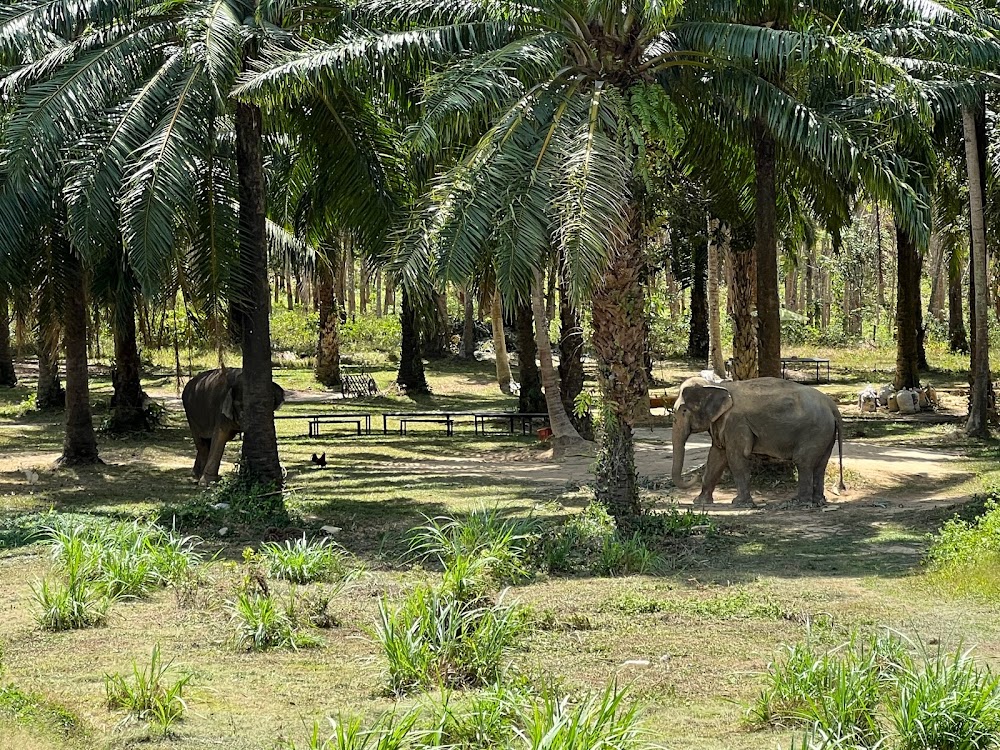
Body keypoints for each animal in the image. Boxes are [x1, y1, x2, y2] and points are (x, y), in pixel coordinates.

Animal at [672, 376, 844, 512]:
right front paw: (699, 502)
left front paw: (739, 504)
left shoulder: (736, 423)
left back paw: (799, 503)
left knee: (803, 462)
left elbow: (735, 458)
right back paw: (818, 501)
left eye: (684, 411)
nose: (693, 476)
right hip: (826, 434)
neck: (717, 385)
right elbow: (716, 457)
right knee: (820, 465)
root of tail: (832, 406)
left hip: (815, 431)